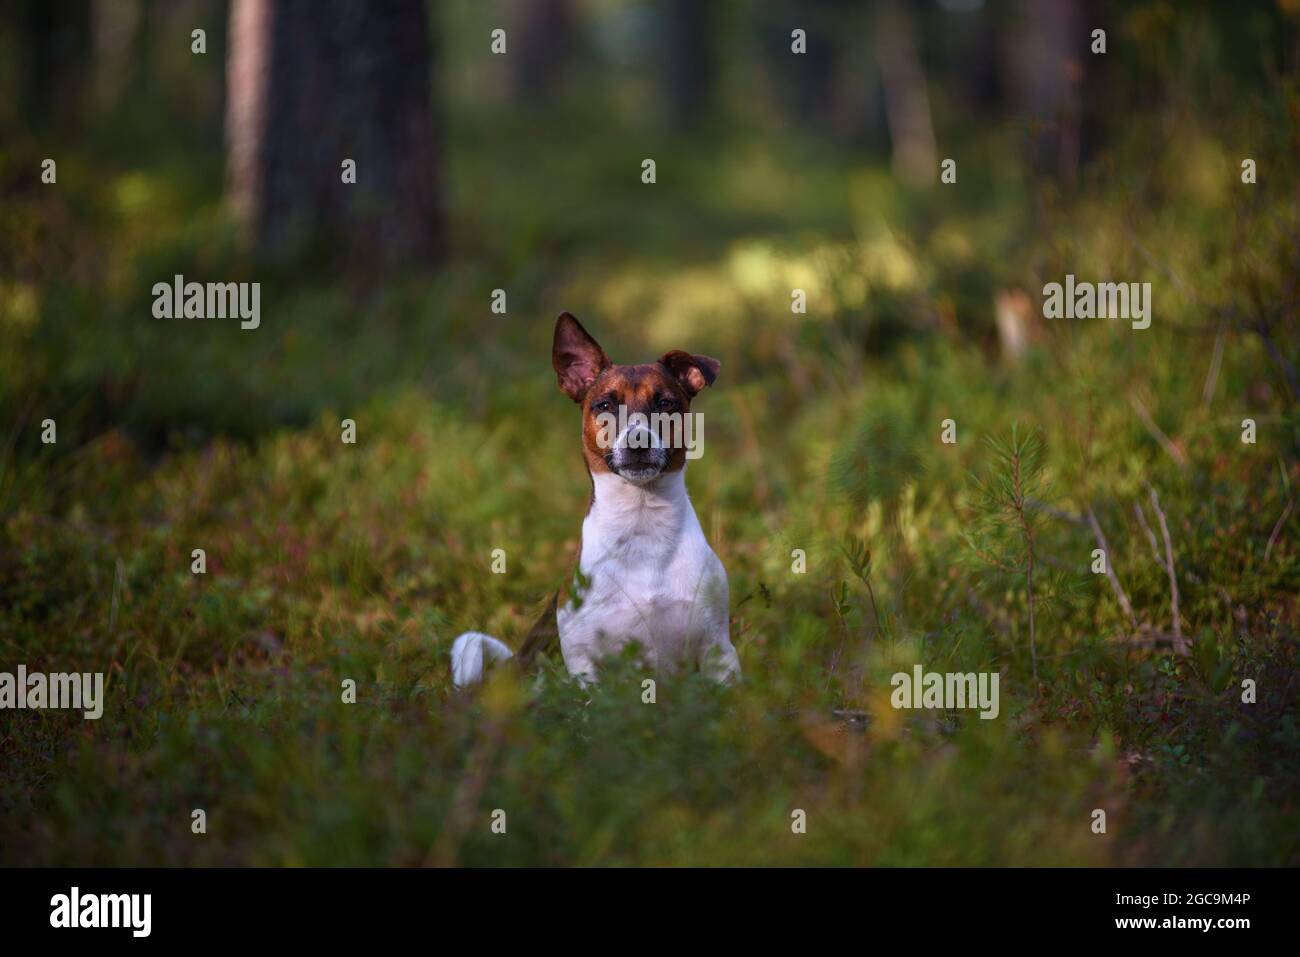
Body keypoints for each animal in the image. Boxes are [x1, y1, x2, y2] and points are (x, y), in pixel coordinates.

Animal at [452, 314, 743, 686]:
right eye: (604, 406)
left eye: (666, 404)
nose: (637, 441)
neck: (641, 519)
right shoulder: (584, 665)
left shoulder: (718, 653)